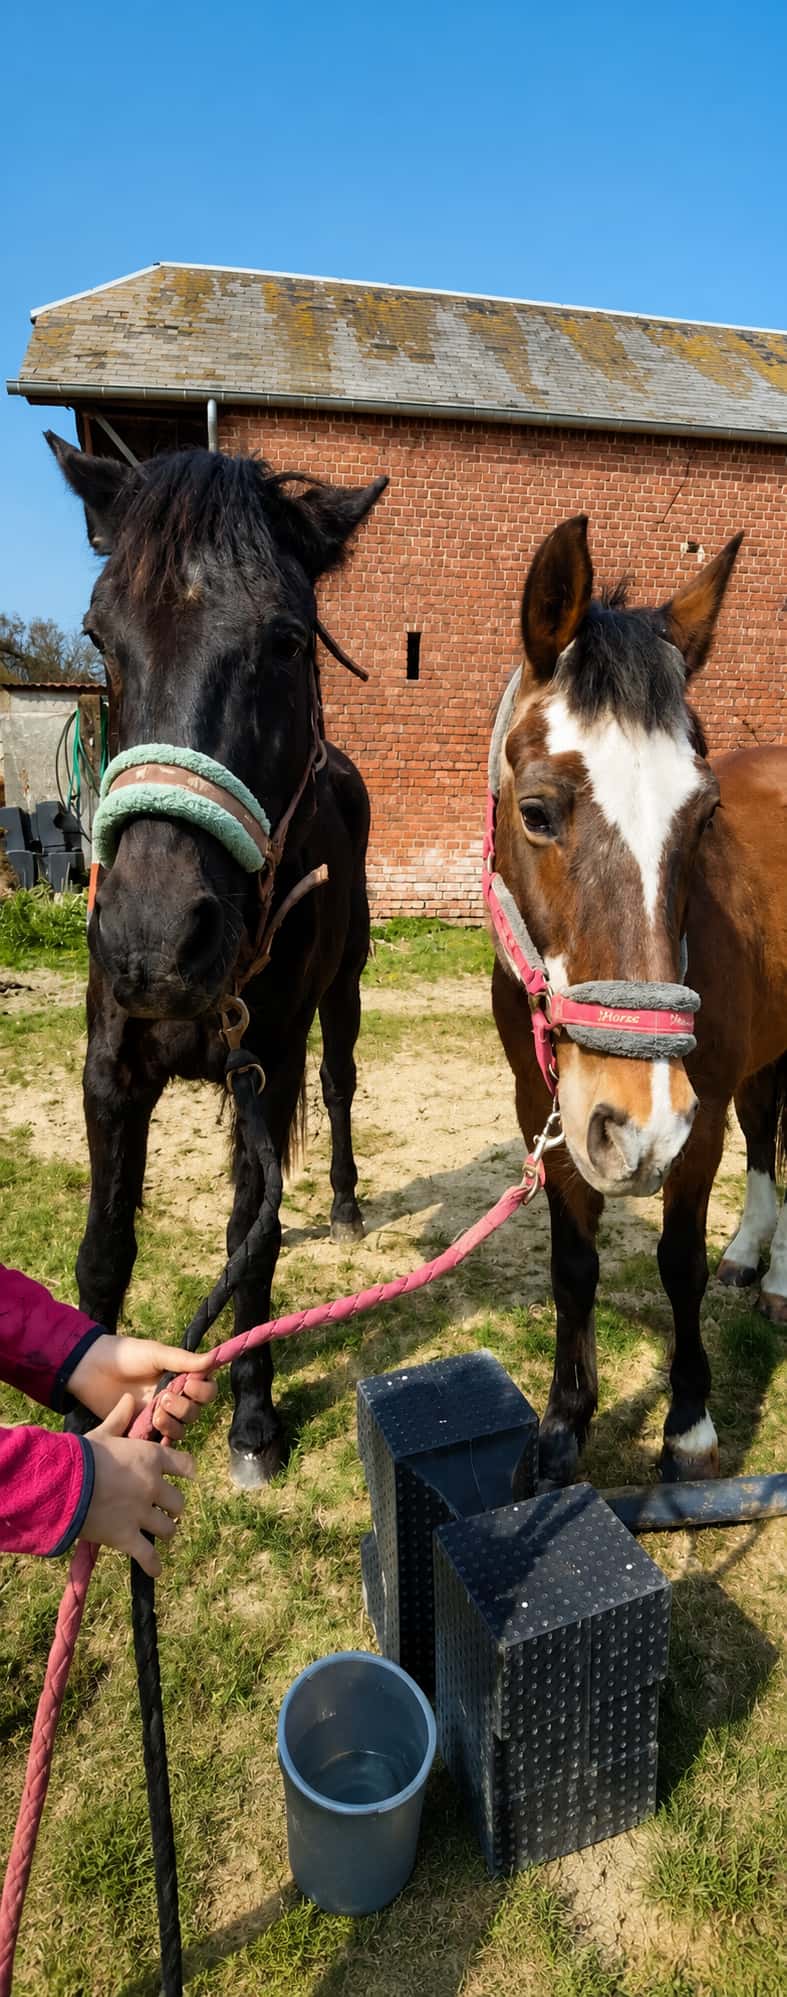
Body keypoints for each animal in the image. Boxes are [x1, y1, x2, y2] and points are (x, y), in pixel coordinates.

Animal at [47, 434, 387, 1488]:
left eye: (286, 641)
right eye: (99, 637)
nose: (154, 942)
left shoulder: (264, 1069)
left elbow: (254, 1241)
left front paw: (251, 1420)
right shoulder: (111, 1067)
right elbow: (104, 1246)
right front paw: (89, 1417)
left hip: (346, 992)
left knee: (342, 1083)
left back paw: (347, 1204)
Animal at [488, 515, 787, 1487]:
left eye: (703, 816)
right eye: (536, 810)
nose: (638, 1124)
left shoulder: (695, 1118)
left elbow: (676, 1259)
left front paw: (687, 1422)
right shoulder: (544, 1109)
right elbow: (573, 1266)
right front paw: (561, 1427)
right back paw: (756, 1258)